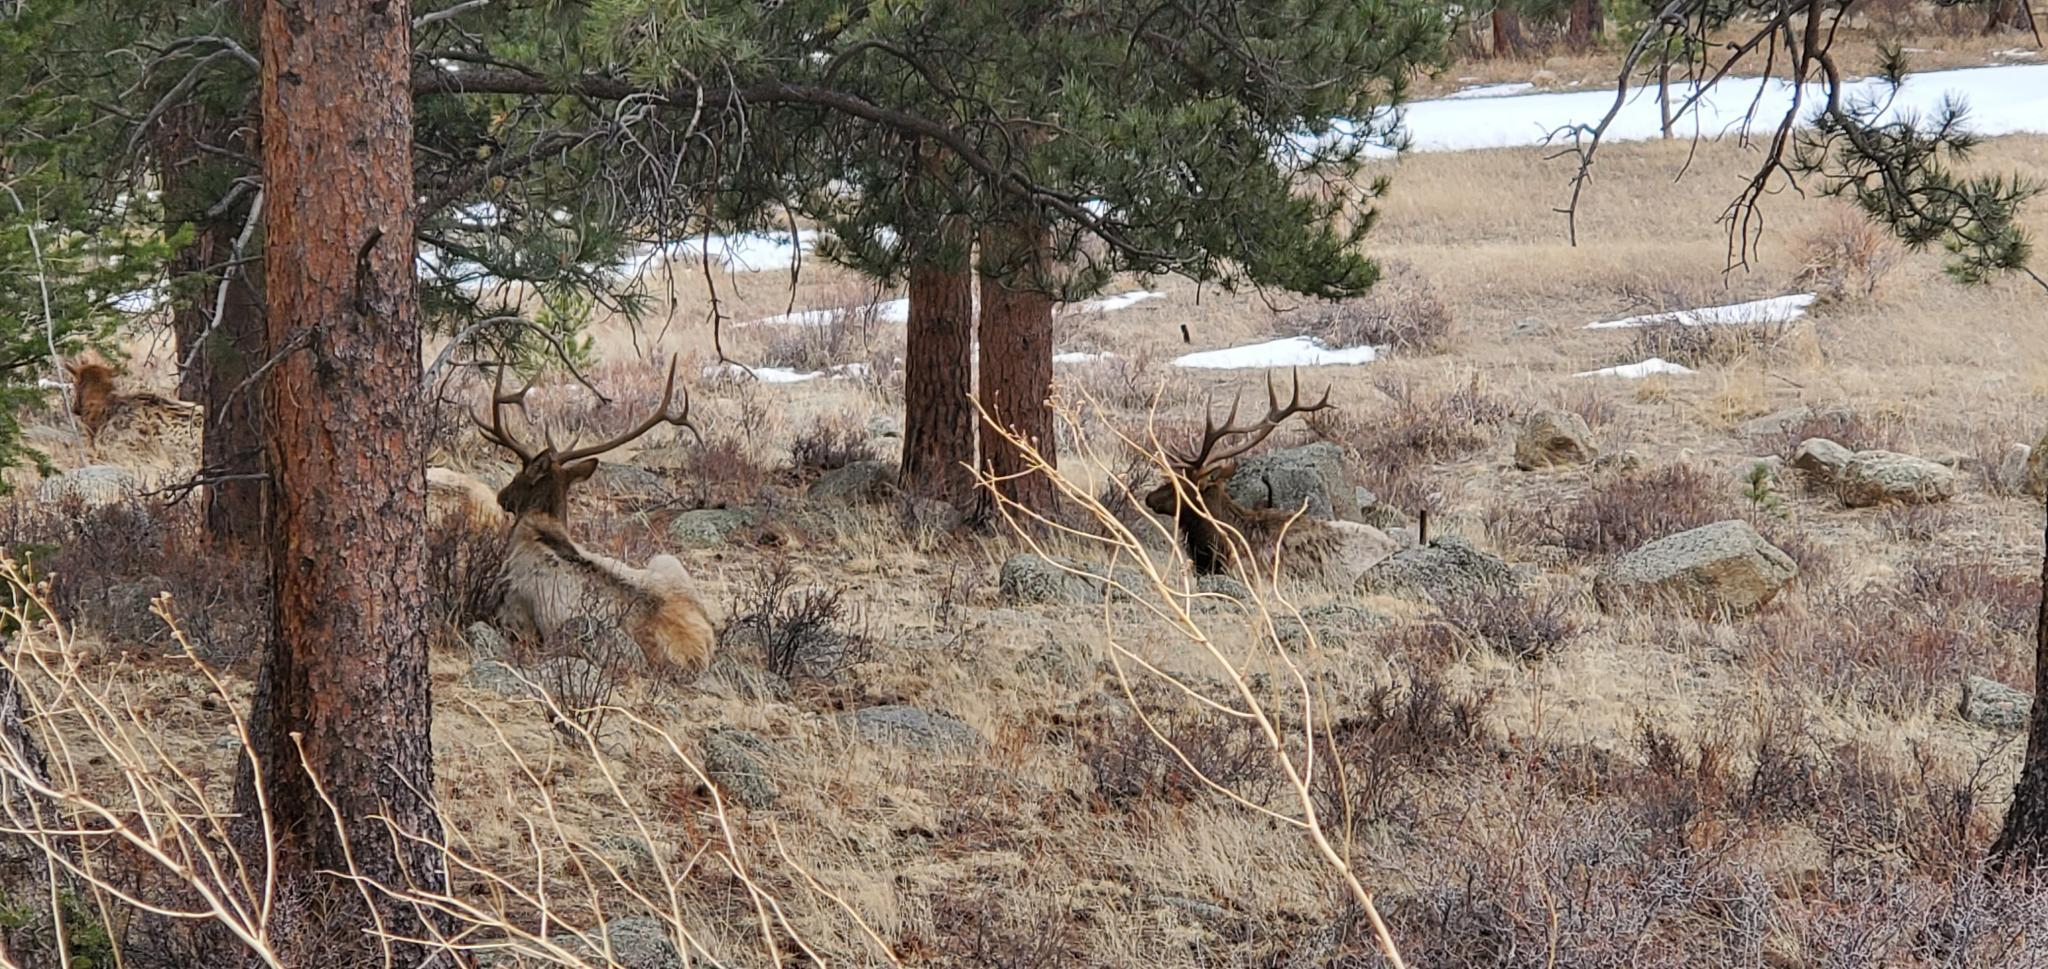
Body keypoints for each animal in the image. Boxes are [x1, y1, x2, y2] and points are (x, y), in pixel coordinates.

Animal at [462, 358, 716, 677]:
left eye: (520, 475)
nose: (502, 496)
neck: (537, 528)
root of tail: (697, 651)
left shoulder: (512, 610)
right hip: (668, 562)